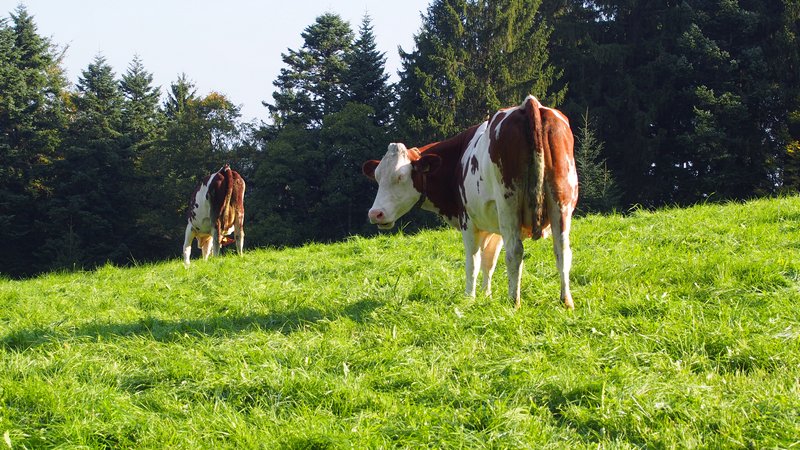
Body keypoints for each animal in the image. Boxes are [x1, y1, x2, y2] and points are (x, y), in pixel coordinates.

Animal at [360, 96, 576, 308]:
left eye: (401, 176)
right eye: (377, 177)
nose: (375, 213)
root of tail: (529, 103)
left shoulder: (469, 221)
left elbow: (473, 262)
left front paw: (469, 298)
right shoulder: (492, 224)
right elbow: (489, 261)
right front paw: (486, 295)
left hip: (509, 205)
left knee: (515, 252)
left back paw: (513, 302)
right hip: (560, 201)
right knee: (562, 251)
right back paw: (566, 301)